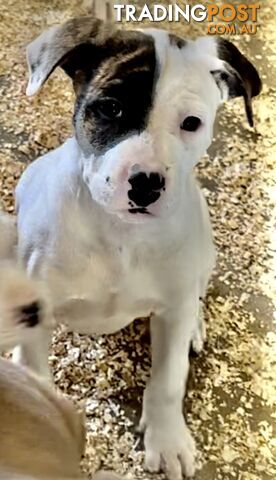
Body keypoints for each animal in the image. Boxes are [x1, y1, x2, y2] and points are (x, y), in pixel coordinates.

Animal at [14, 15, 262, 480]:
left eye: (191, 123)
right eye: (110, 108)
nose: (146, 183)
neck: (120, 236)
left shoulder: (173, 307)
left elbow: (168, 379)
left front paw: (167, 440)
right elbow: (34, 375)